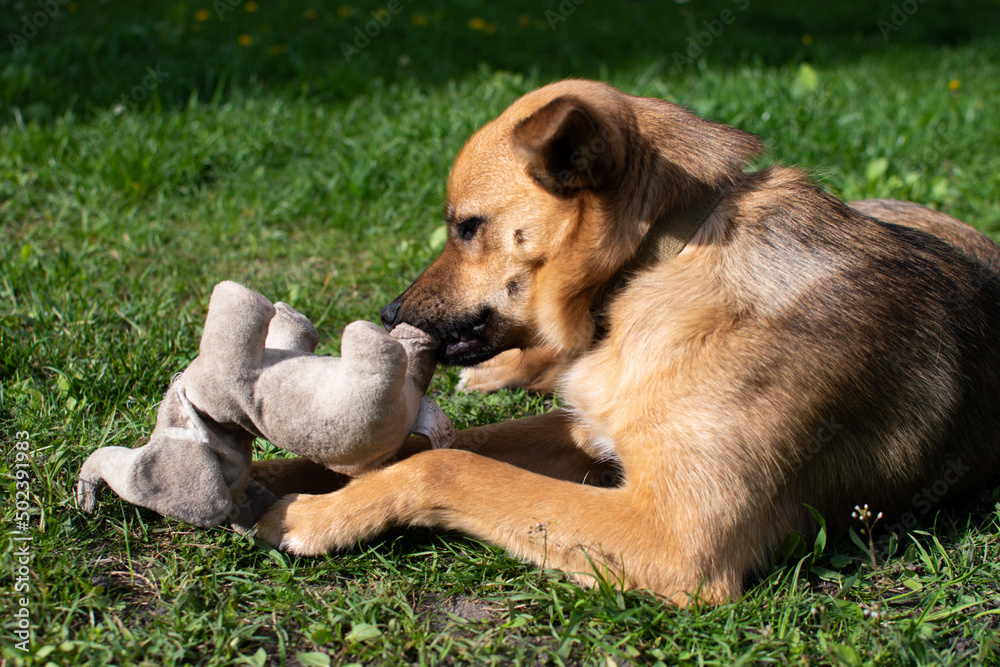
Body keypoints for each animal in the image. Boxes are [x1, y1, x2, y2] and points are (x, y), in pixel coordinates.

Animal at [258, 79, 1000, 604]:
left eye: (467, 227)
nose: (389, 313)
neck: (651, 265)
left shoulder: (675, 535)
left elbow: (446, 465)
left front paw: (314, 514)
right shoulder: (587, 429)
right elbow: (439, 445)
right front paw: (278, 475)